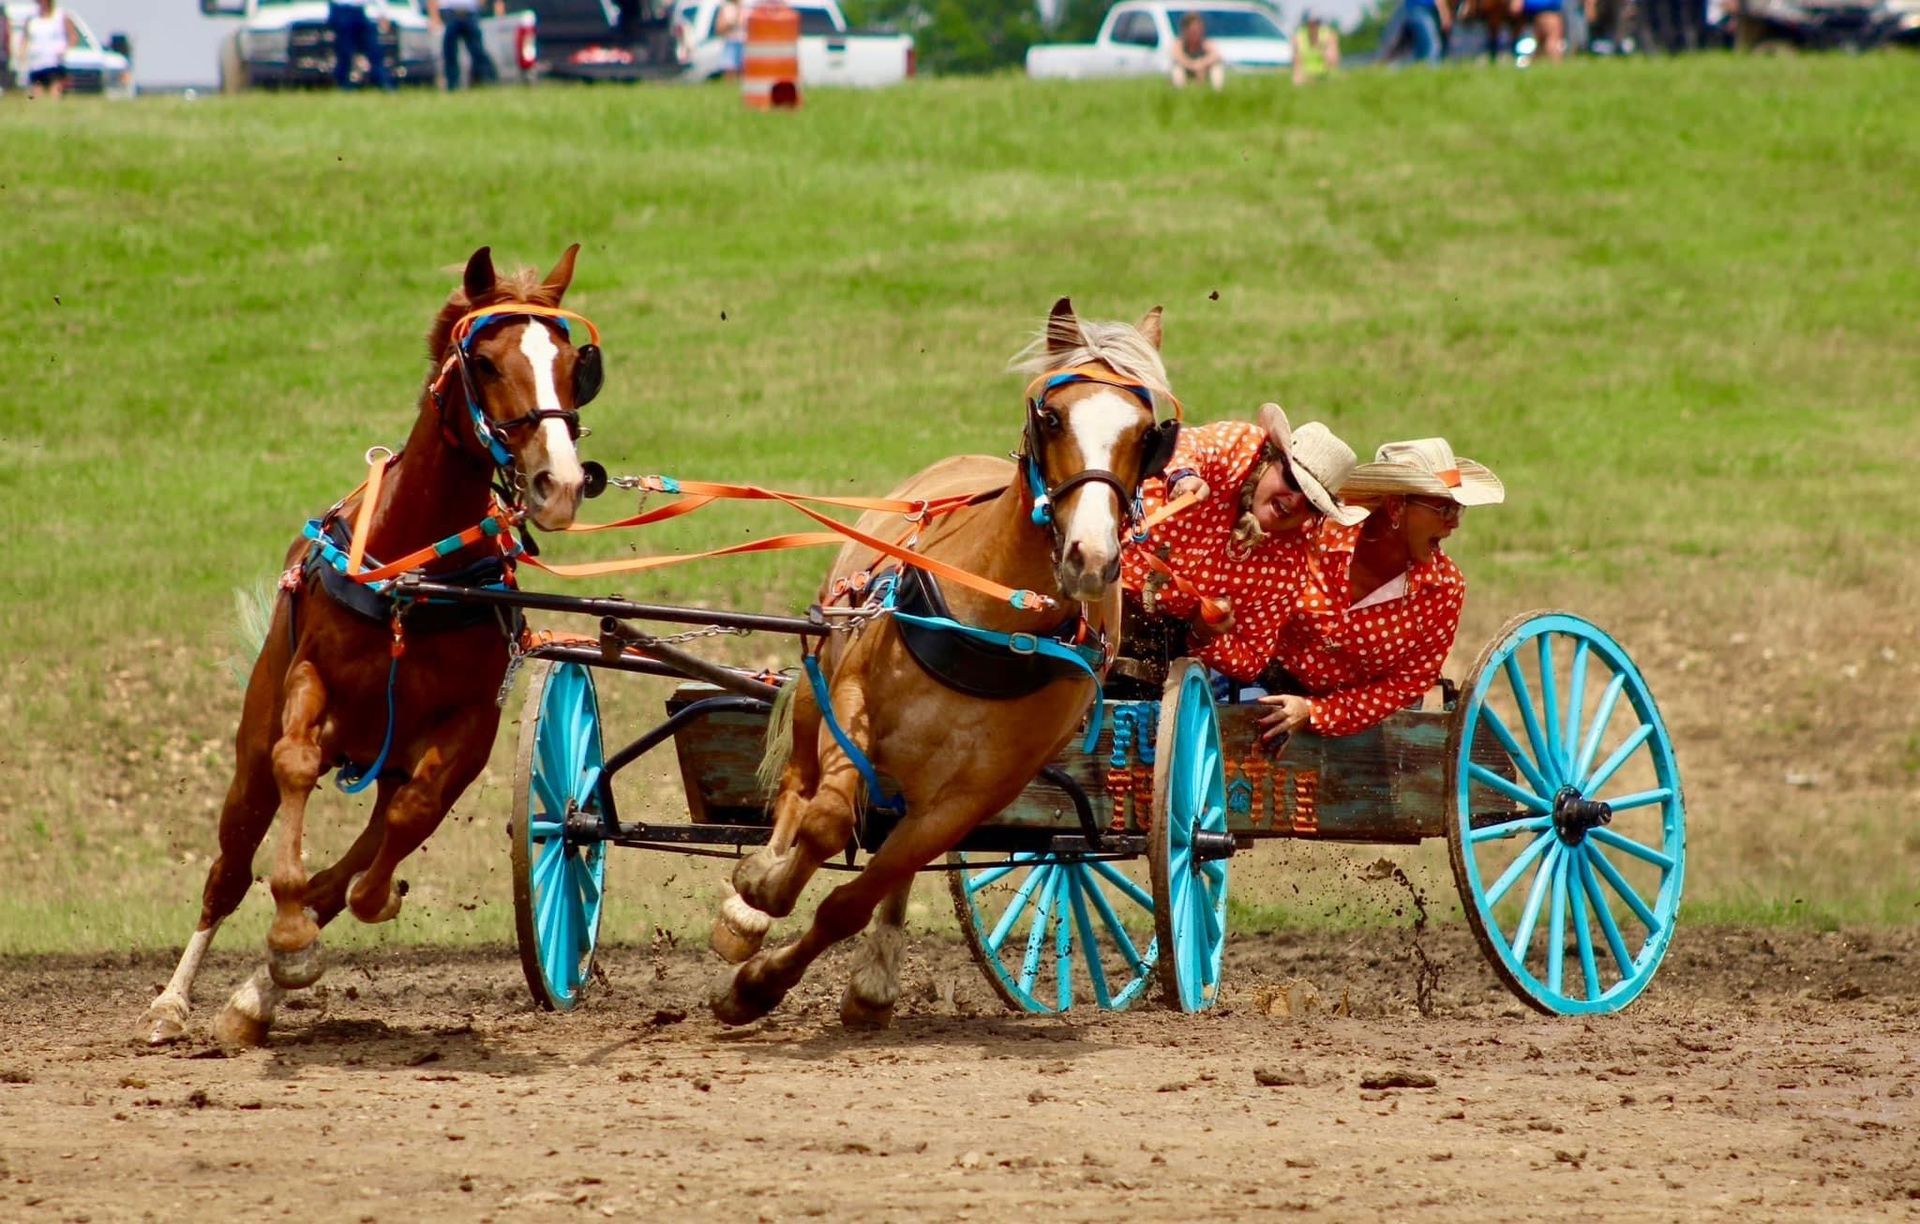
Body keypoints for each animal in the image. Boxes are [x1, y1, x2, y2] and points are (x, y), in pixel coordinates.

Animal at [140, 245, 601, 1047]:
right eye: (485, 361)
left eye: (575, 363)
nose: (560, 484)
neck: (418, 576)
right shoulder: (310, 684)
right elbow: (296, 769)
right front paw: (287, 925)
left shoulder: (467, 729)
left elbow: (399, 828)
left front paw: (329, 922)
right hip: (253, 744)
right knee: (229, 865)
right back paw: (175, 999)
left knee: (364, 848)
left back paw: (265, 985)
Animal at [706, 298, 1181, 1029]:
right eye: (1051, 417)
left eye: (1148, 433)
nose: (1091, 558)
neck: (995, 623)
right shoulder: (852, 701)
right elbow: (824, 820)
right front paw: (762, 895)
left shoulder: (973, 796)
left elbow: (853, 901)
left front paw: (760, 984)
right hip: (821, 679)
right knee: (798, 785)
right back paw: (752, 896)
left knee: (886, 860)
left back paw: (871, 979)